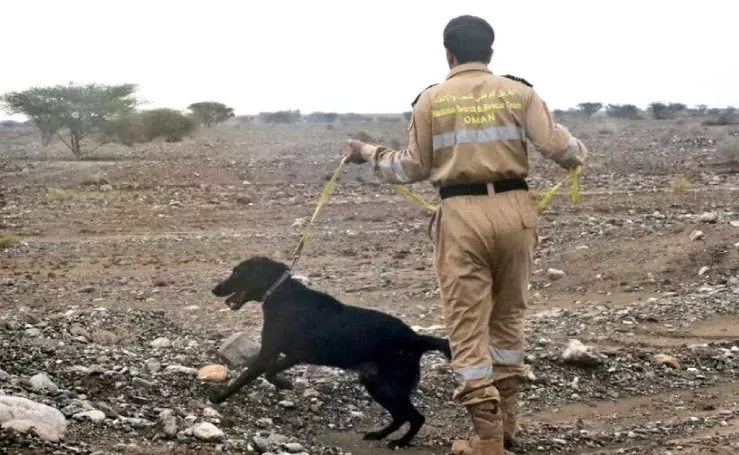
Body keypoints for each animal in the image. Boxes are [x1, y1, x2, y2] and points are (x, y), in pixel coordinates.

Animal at [208, 256, 450, 448]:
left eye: (237, 272)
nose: (214, 289)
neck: (278, 291)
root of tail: (417, 339)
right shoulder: (292, 355)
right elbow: (269, 372)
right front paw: (284, 384)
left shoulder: (269, 352)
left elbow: (244, 378)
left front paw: (218, 398)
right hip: (376, 384)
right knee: (401, 416)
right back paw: (379, 434)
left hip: (388, 386)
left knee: (416, 417)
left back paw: (400, 442)